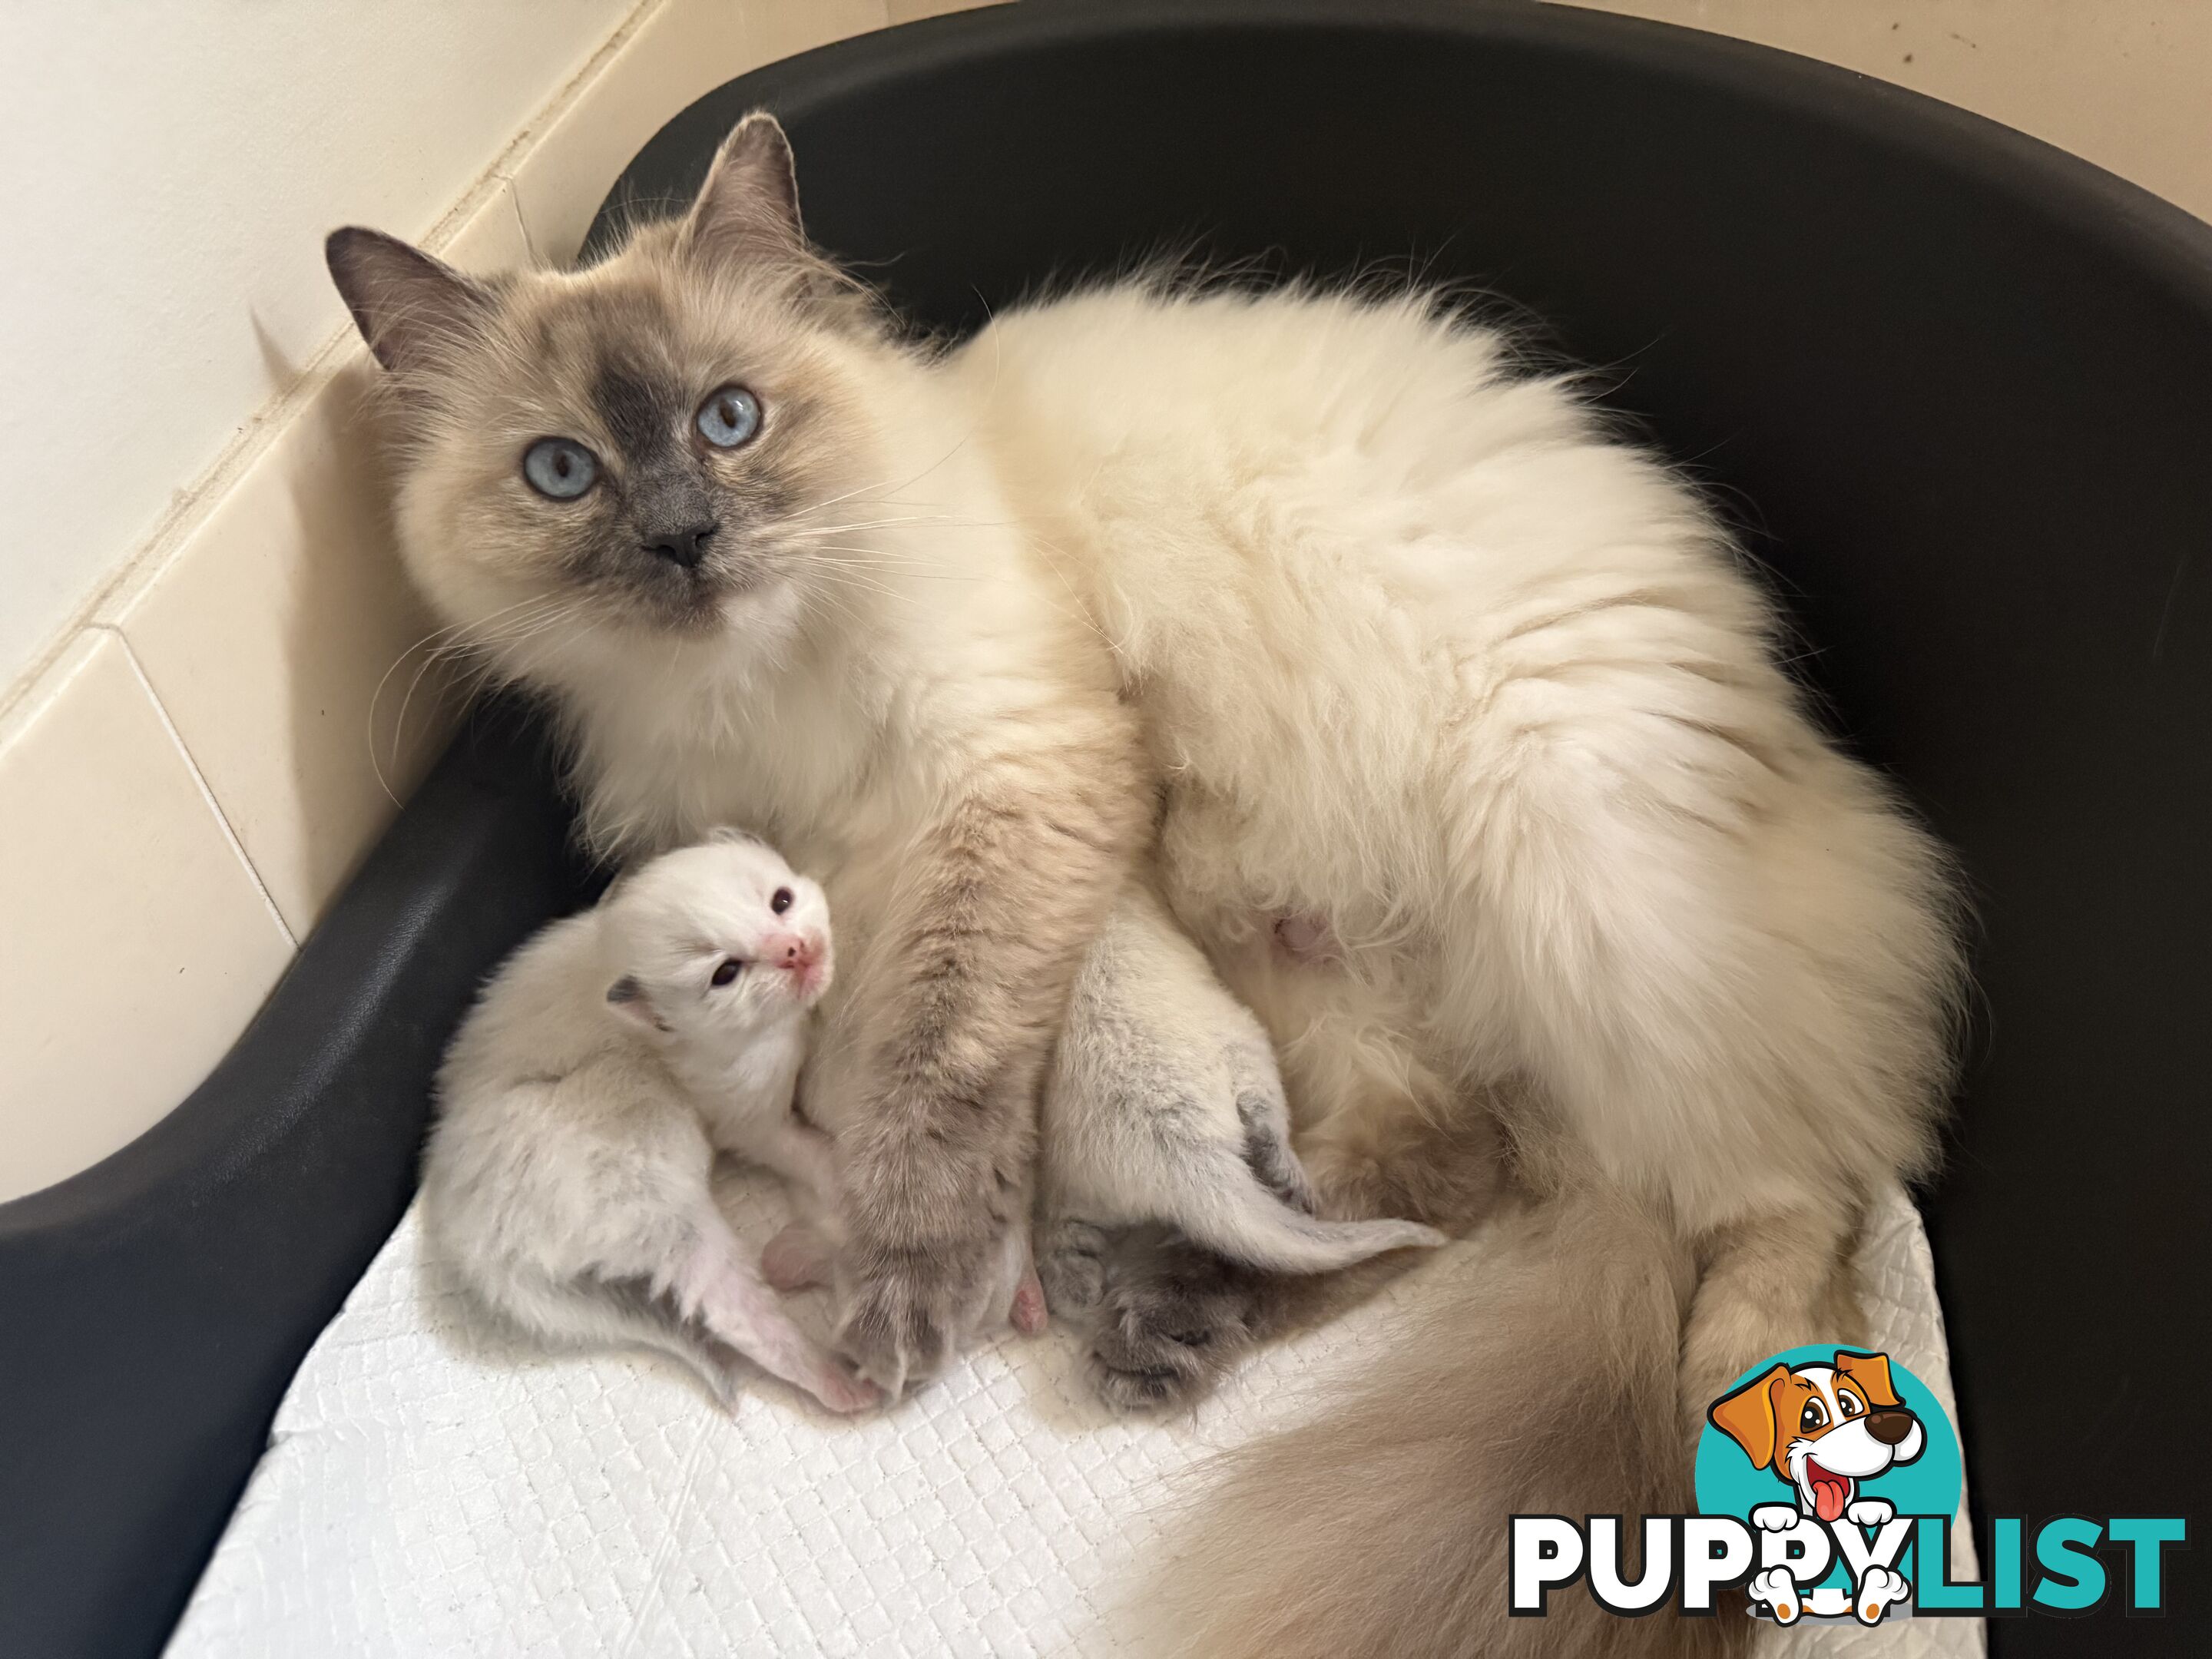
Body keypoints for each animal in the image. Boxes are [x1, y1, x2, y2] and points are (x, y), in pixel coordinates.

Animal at [323, 111, 1955, 1654]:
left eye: (731, 421)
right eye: (562, 473)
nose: (681, 539)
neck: (758, 684)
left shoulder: (1013, 781)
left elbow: (935, 1074)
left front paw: (911, 1283)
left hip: (1586, 904)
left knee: (1779, 1200)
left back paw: (1737, 1448)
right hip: (1325, 979)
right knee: (1421, 1186)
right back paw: (1170, 1314)